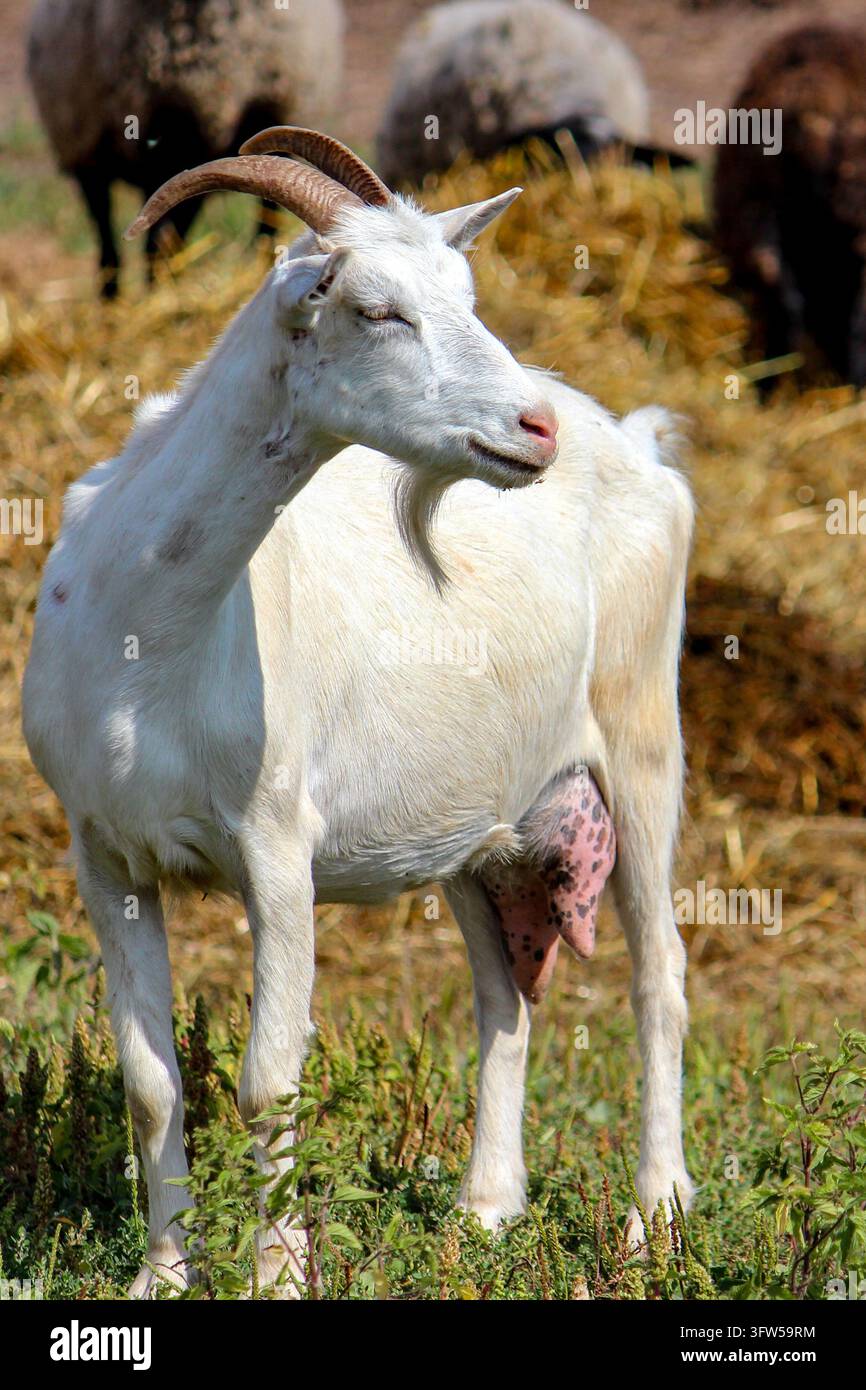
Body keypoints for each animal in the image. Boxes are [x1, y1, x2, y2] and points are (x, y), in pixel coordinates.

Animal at [23, 128, 694, 1297]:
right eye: (378, 309)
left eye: (465, 295)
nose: (533, 428)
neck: (146, 624)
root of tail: (641, 449)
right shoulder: (103, 852)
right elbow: (150, 1080)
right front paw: (161, 1276)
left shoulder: (275, 843)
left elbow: (267, 1078)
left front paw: (279, 1273)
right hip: (481, 823)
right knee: (502, 997)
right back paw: (483, 1211)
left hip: (641, 736)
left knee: (659, 976)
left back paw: (652, 1219)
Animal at [27, 0, 343, 297]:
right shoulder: (164, 133)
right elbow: (159, 233)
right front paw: (159, 289)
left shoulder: (271, 111)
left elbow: (267, 217)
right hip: (85, 143)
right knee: (105, 225)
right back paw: (113, 293)